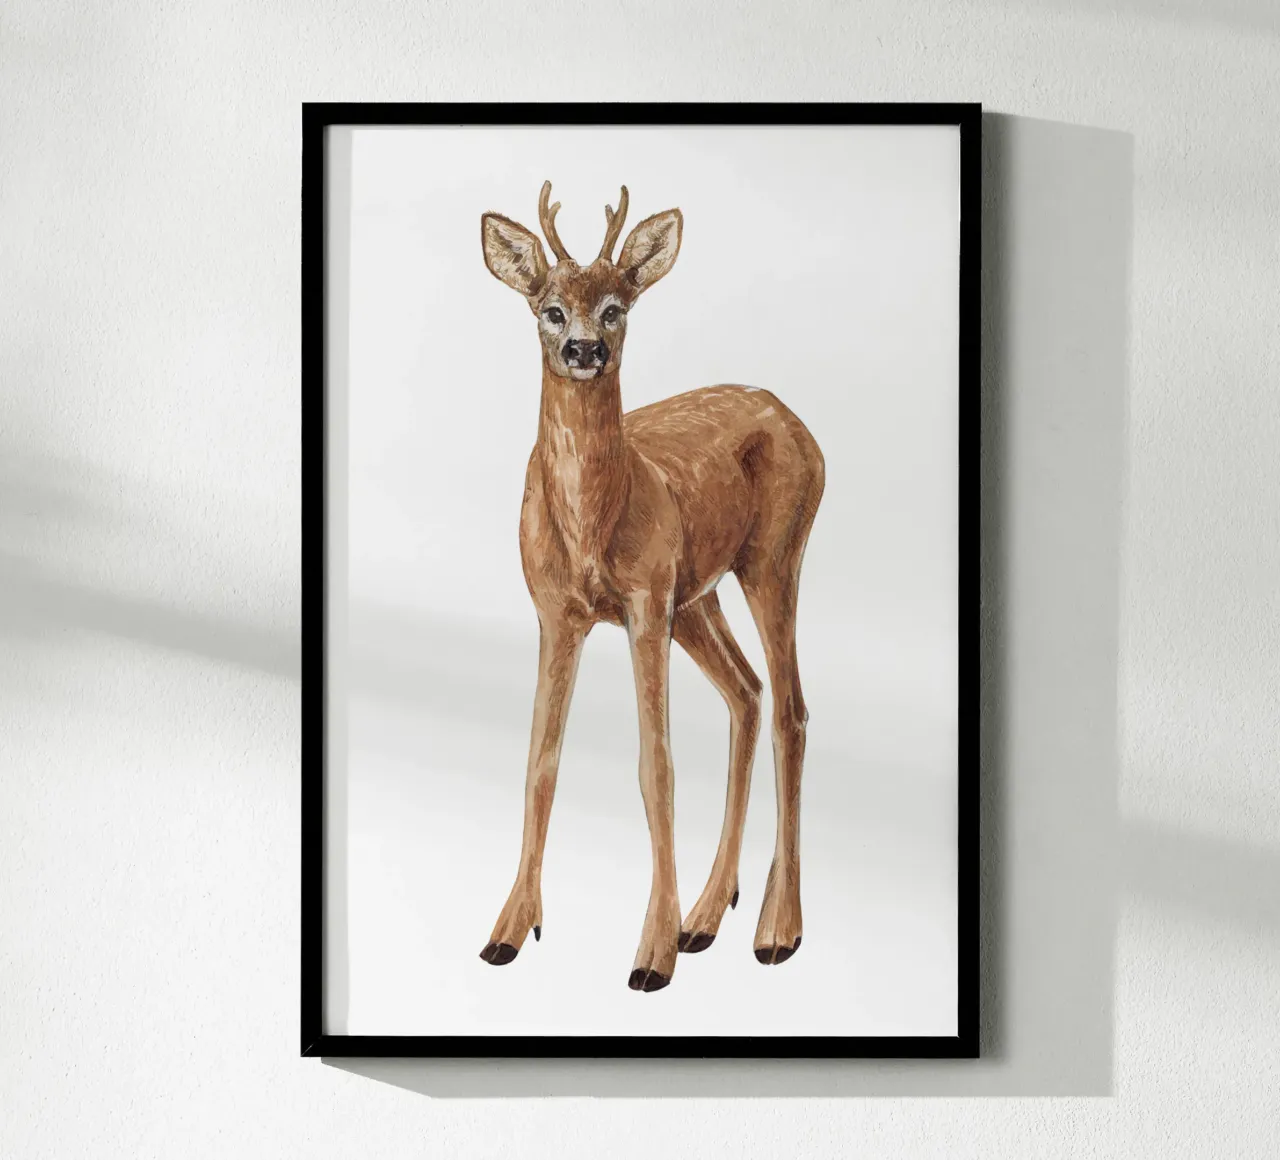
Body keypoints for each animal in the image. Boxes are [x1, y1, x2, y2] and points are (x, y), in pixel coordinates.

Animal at [477, 181, 825, 992]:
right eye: (549, 307)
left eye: (616, 306)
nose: (585, 350)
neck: (592, 526)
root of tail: (801, 425)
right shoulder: (557, 612)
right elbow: (541, 763)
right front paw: (509, 930)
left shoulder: (642, 603)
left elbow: (654, 767)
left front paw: (650, 955)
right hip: (698, 596)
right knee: (748, 692)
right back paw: (708, 915)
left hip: (771, 559)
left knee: (790, 707)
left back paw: (775, 931)